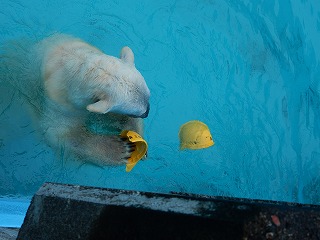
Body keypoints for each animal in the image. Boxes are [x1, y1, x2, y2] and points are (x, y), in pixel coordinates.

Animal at [0, 34, 150, 167]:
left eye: (149, 98)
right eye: (138, 112)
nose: (147, 112)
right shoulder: (62, 103)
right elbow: (59, 133)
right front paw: (121, 149)